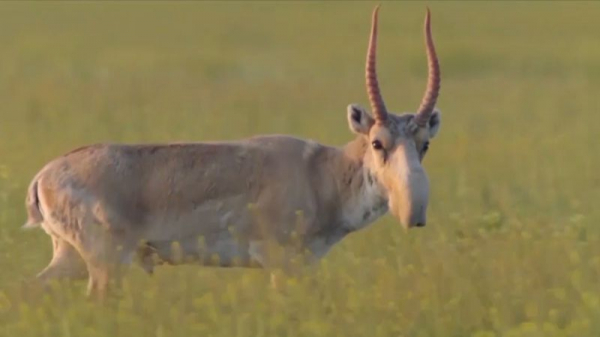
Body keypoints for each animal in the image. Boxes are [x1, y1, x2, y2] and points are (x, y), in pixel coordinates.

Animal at [22, 6, 440, 296]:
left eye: (424, 143)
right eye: (377, 142)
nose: (415, 214)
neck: (323, 173)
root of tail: (43, 177)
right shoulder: (280, 262)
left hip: (70, 258)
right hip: (105, 264)